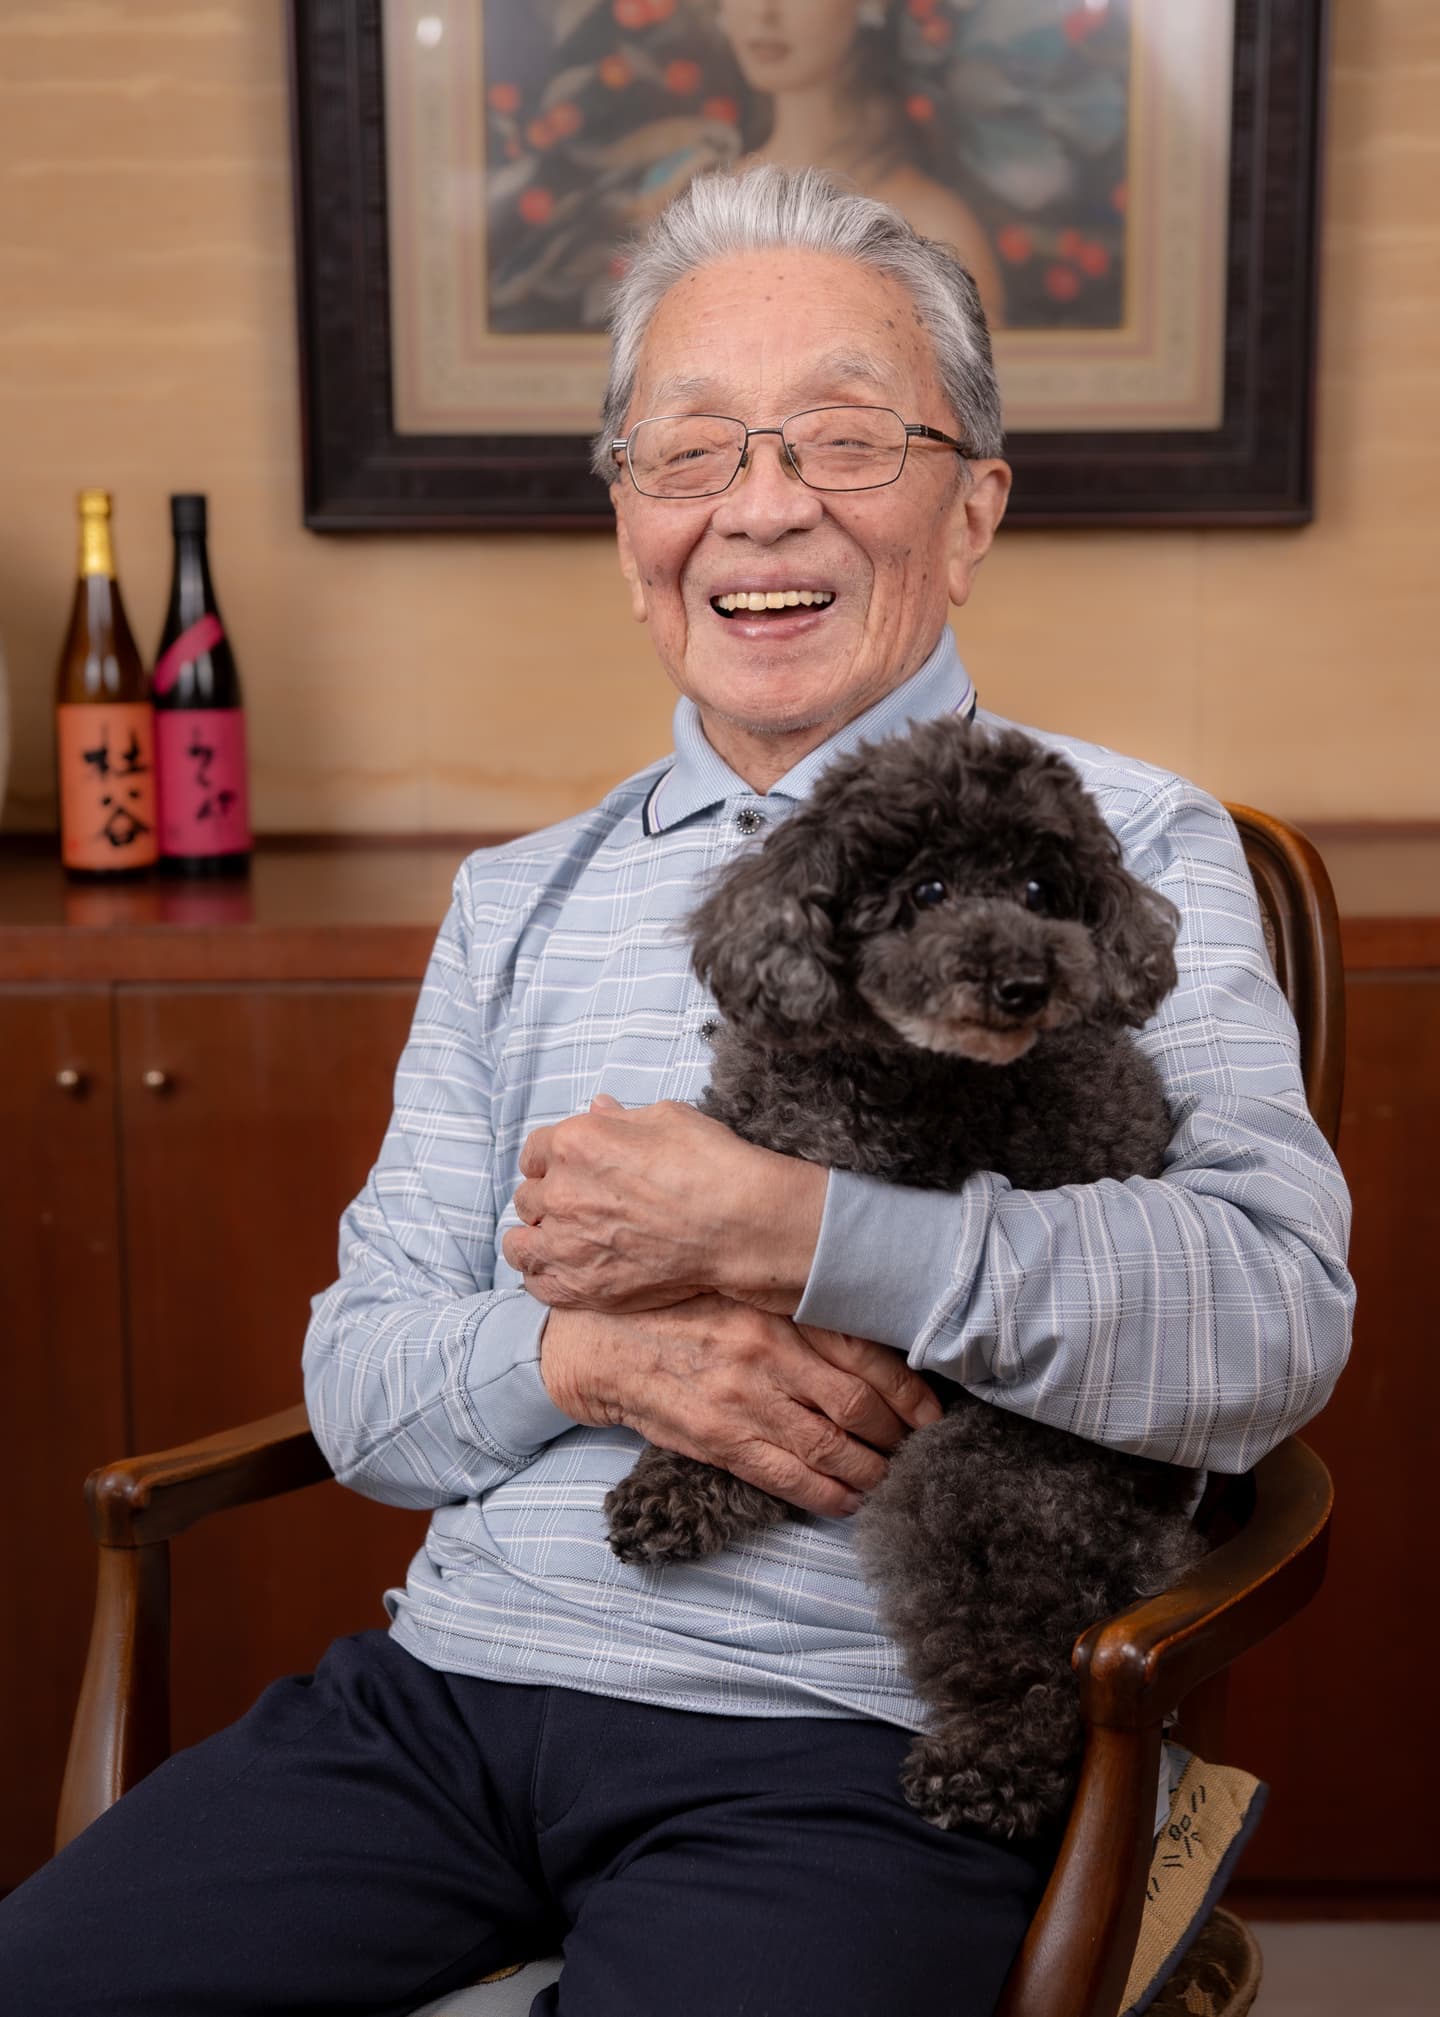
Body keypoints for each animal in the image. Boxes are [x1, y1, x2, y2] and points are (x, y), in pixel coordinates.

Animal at [602, 716, 1207, 1839]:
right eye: (925, 889)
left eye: (1042, 888)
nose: (1024, 985)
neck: (861, 1062)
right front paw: (676, 1484)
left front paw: (689, 1483)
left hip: (989, 1479)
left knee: (1037, 1657)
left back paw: (988, 1768)